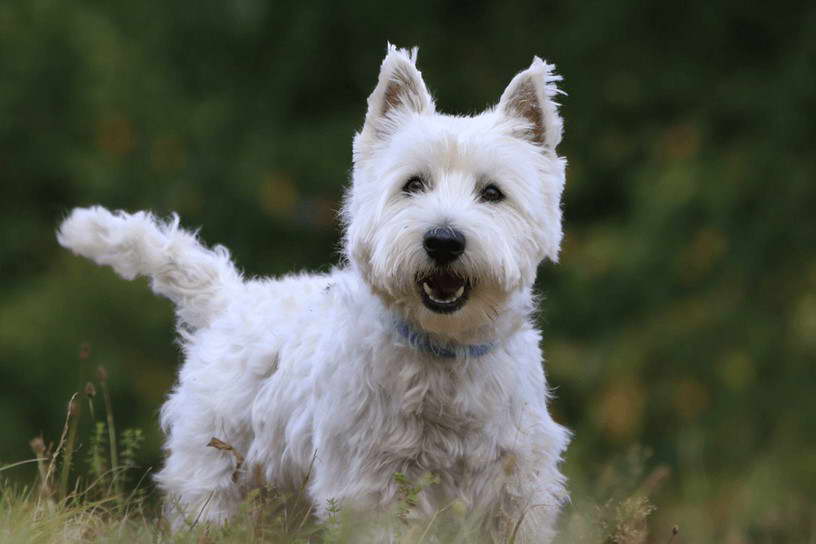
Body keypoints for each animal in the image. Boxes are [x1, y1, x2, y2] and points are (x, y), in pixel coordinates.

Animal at [57, 45, 572, 540]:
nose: (443, 241)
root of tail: (230, 299)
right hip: (215, 471)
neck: (444, 351)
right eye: (413, 184)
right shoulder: (370, 488)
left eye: (493, 192)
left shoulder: (519, 488)